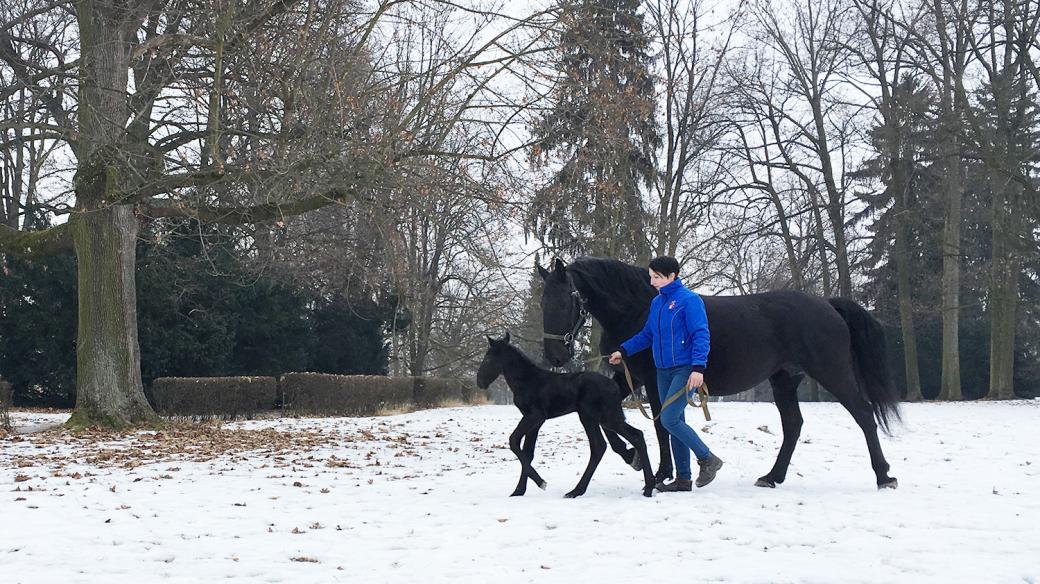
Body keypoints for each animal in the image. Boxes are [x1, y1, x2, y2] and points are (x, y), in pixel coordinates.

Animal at [476, 332, 653, 494]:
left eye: (488, 358)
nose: (480, 382)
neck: (527, 380)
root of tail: (614, 386)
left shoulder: (535, 415)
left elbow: (513, 441)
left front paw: (540, 482)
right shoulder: (536, 421)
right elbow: (528, 453)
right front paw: (519, 491)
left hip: (591, 417)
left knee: (599, 446)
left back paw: (577, 491)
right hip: (607, 418)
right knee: (637, 436)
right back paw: (648, 485)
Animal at [540, 256, 898, 488]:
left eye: (565, 300)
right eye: (543, 302)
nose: (555, 355)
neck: (639, 310)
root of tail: (827, 305)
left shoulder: (654, 382)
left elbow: (661, 427)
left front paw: (662, 474)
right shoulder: (630, 378)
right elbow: (612, 421)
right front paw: (632, 455)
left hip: (832, 372)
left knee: (863, 414)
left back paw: (884, 476)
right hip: (784, 381)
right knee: (793, 426)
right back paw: (772, 477)